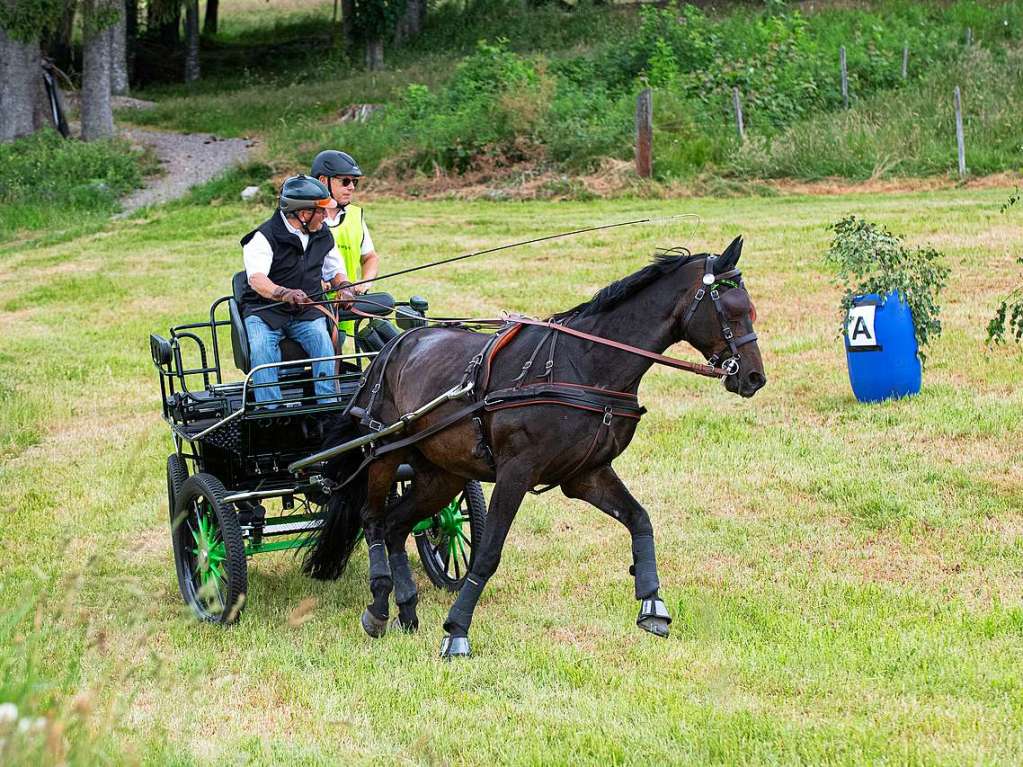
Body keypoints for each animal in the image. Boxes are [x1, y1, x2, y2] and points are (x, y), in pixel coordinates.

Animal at [302, 237, 769, 658]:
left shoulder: (586, 474)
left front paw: (652, 602)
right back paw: (380, 605)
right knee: (373, 520)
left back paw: (405, 608)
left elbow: (640, 519)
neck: (583, 366)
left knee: (398, 525)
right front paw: (457, 631)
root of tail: (392, 348)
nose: (754, 378)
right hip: (385, 451)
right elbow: (488, 555)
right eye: (733, 310)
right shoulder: (516, 473)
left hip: (443, 473)